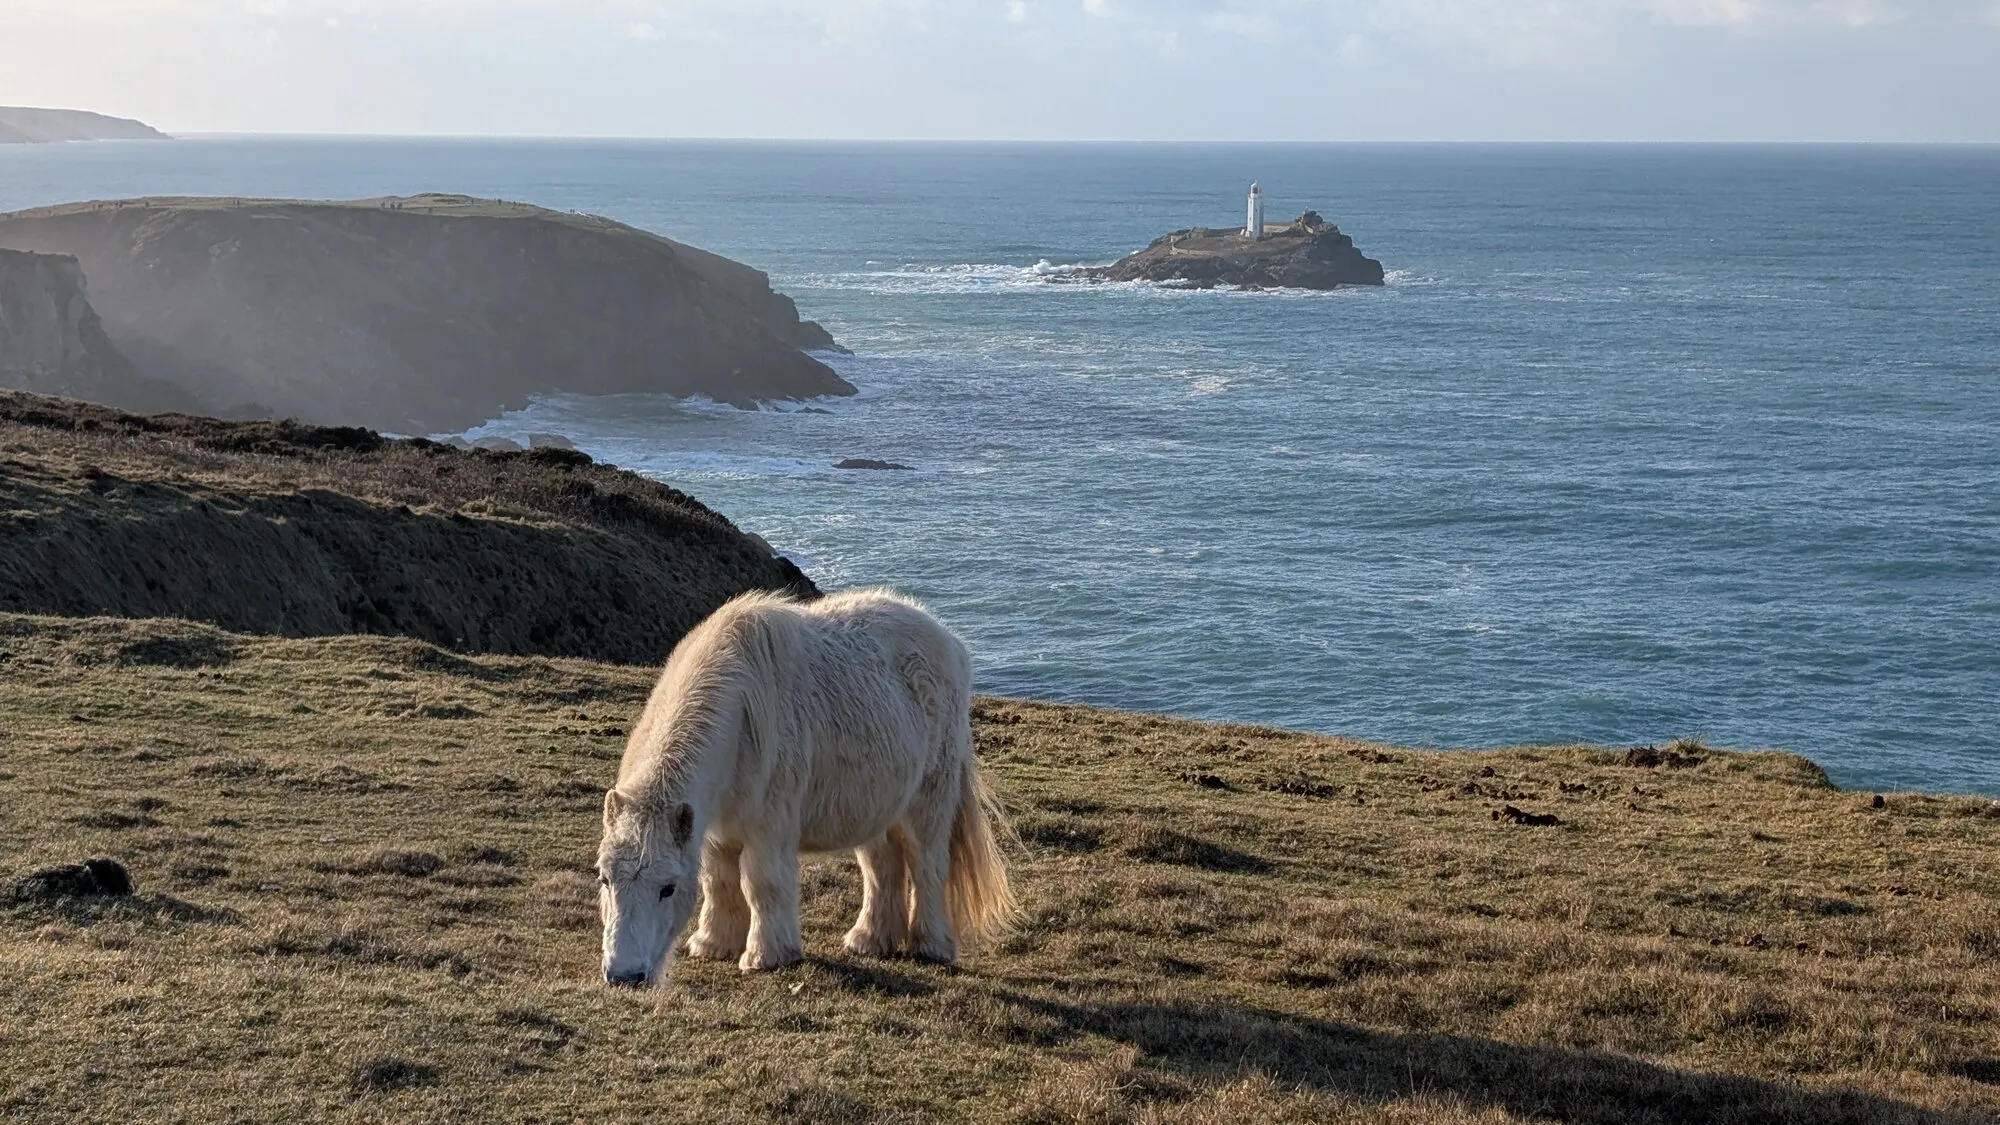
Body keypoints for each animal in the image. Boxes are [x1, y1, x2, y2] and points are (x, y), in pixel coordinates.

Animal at [596, 588, 1015, 986]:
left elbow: (761, 882)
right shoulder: (716, 830)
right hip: (876, 805)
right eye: (605, 878)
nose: (624, 976)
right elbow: (718, 881)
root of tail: (950, 641)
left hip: (929, 800)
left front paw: (766, 956)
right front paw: (714, 944)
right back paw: (868, 940)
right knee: (882, 867)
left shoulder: (769, 825)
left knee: (927, 862)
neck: (739, 716)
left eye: (667, 888)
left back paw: (930, 946)